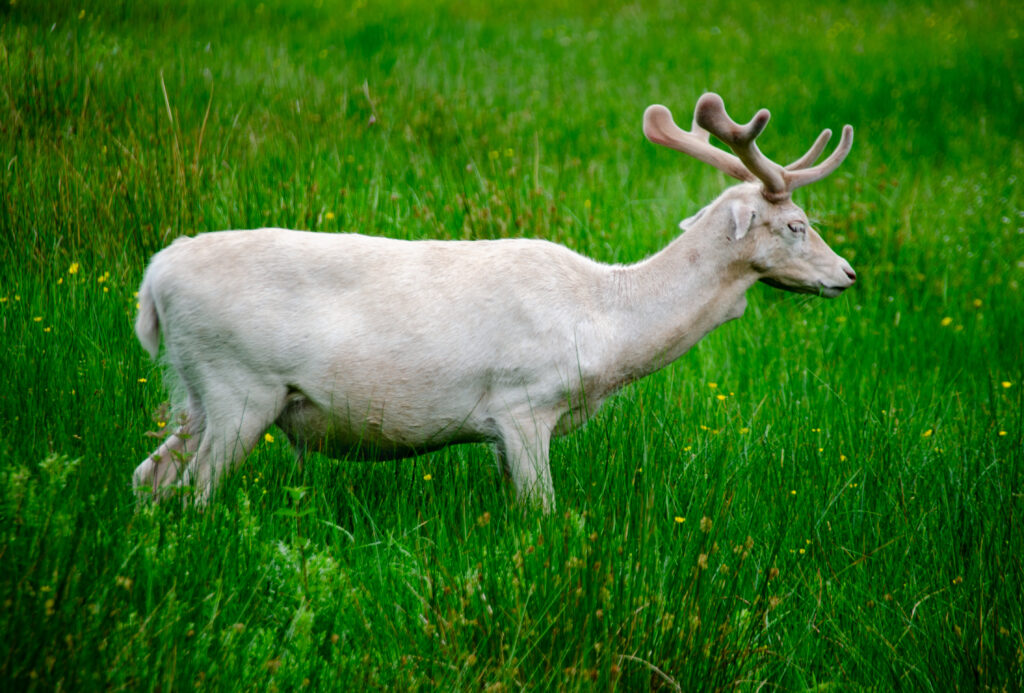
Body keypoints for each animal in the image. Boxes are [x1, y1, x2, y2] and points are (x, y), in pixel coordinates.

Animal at [132, 92, 855, 512]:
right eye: (798, 225)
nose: (847, 274)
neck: (608, 326)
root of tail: (152, 282)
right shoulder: (523, 402)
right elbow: (543, 512)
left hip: (195, 393)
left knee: (149, 476)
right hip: (240, 385)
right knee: (195, 491)